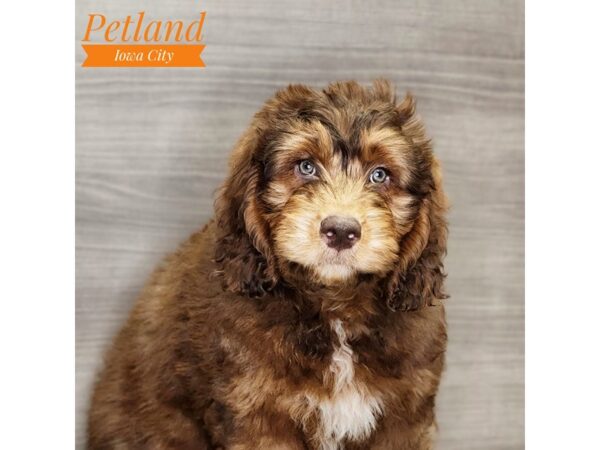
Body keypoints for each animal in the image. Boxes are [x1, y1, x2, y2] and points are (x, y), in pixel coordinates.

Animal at [86, 79, 448, 448]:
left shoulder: (405, 413)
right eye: (305, 167)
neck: (335, 307)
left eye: (380, 175)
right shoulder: (257, 412)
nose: (341, 231)